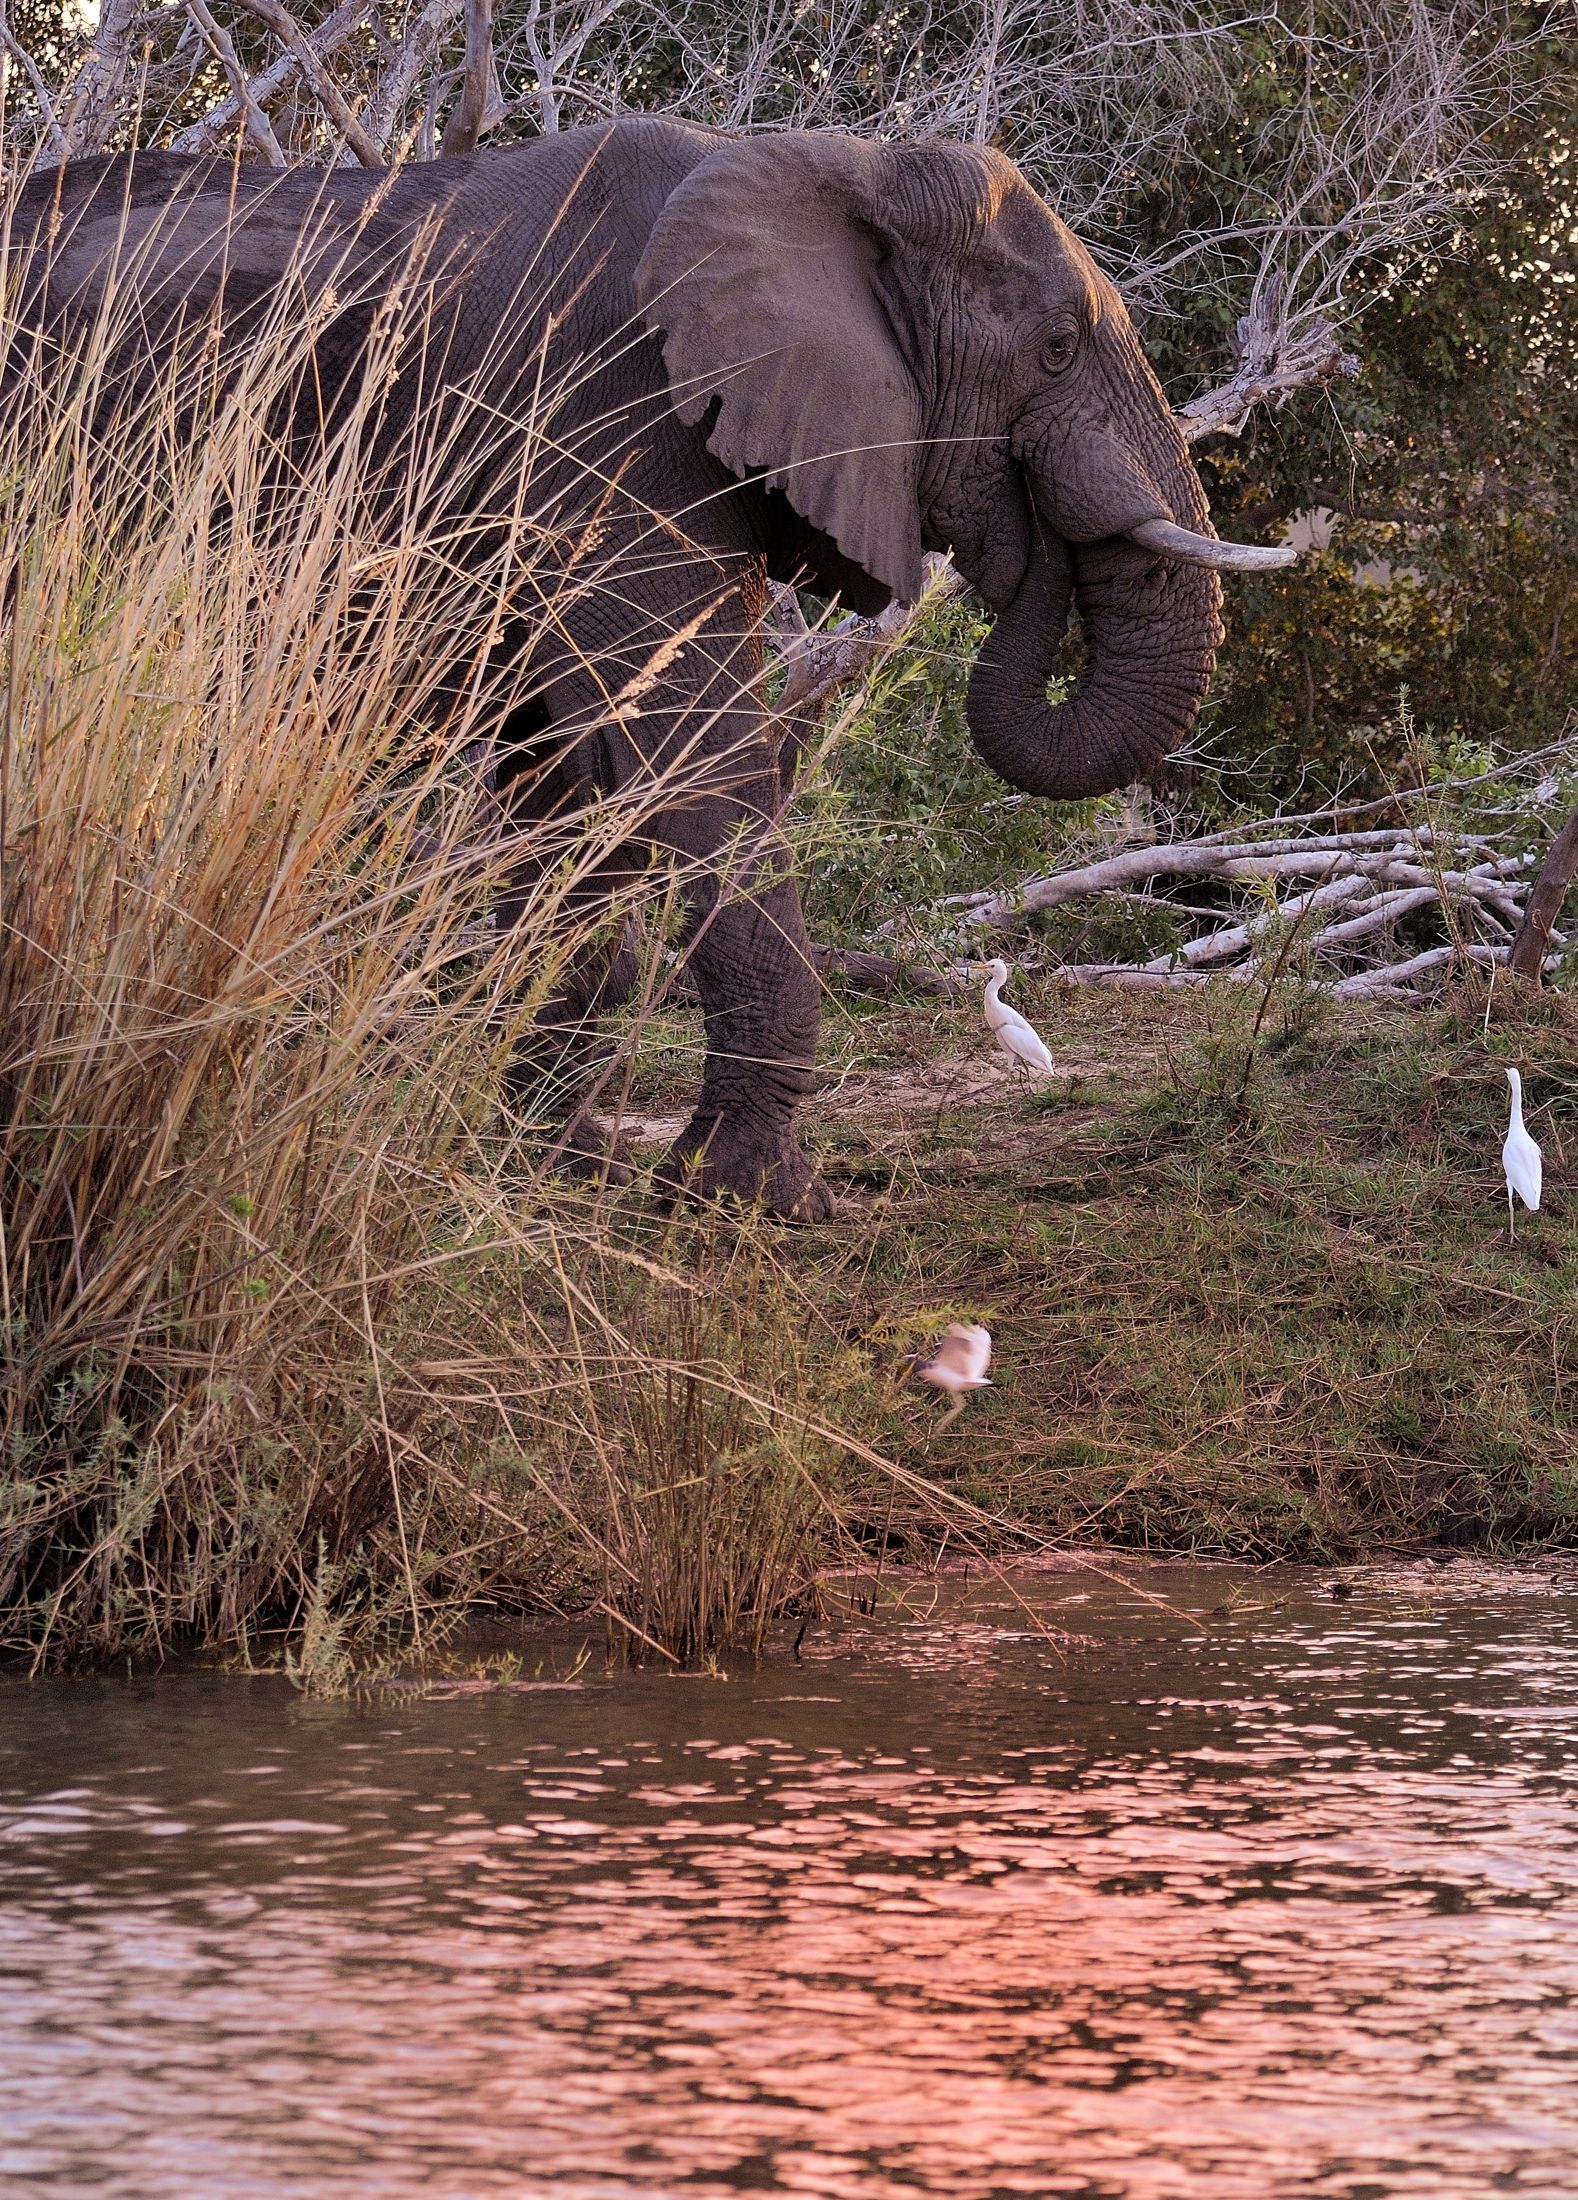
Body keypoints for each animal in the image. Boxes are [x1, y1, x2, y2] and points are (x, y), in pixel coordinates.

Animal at [6, 121, 1290, 1220]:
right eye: (1057, 348)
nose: (1024, 546)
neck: (844, 171)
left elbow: (577, 780)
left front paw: (556, 1171)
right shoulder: (616, 414)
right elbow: (693, 750)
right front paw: (748, 1202)